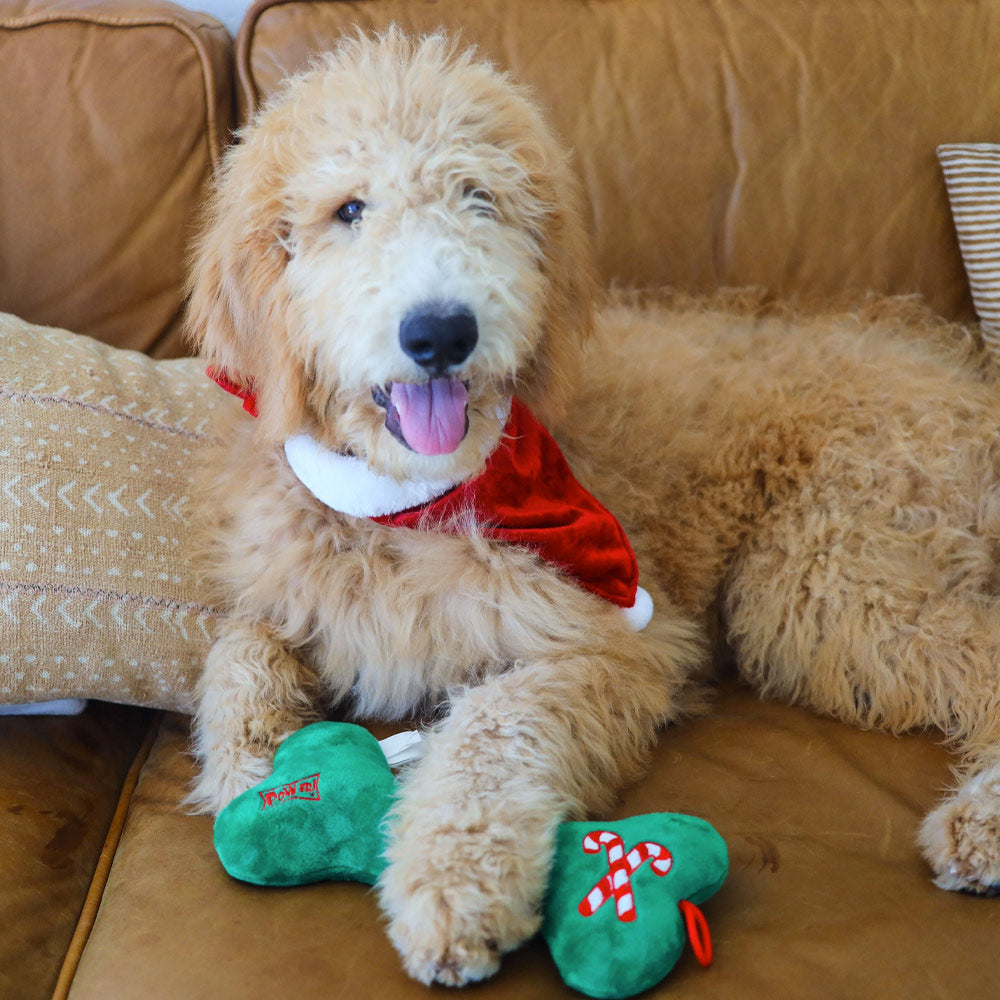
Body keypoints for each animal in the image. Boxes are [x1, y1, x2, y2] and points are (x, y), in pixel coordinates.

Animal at [184, 29, 1000, 984]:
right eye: (348, 210)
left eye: (479, 197)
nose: (441, 332)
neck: (407, 505)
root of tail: (963, 384)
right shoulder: (289, 594)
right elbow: (235, 654)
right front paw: (253, 771)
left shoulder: (621, 637)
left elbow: (492, 725)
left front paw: (452, 883)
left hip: (818, 582)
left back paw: (982, 823)